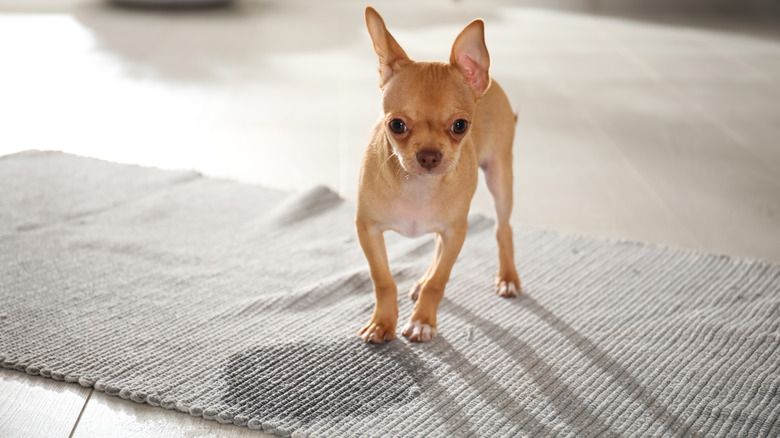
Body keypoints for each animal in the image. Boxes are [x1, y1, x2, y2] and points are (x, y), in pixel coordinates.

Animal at [358, 5, 516, 344]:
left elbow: (439, 281)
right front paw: (382, 322)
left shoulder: (456, 232)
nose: (429, 155)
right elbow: (383, 279)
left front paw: (422, 322)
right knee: (435, 244)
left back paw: (508, 278)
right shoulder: (368, 230)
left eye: (460, 126)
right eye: (396, 125)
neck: (418, 187)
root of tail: (490, 82)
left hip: (500, 178)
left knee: (503, 228)